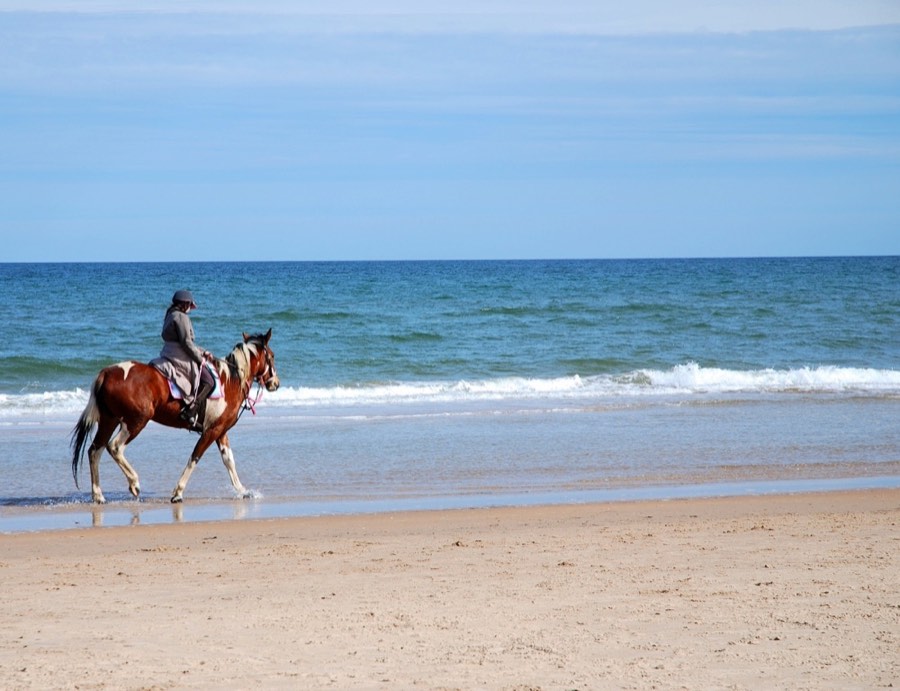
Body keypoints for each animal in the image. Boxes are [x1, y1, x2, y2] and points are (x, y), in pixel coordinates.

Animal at [71, 329, 280, 504]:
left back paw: (98, 495)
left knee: (94, 450)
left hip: (110, 420)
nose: (275, 383)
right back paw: (134, 483)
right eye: (272, 356)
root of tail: (107, 372)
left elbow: (229, 460)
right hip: (135, 421)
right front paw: (178, 492)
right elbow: (195, 457)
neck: (230, 381)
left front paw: (243, 490)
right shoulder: (211, 431)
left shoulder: (220, 431)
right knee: (114, 447)